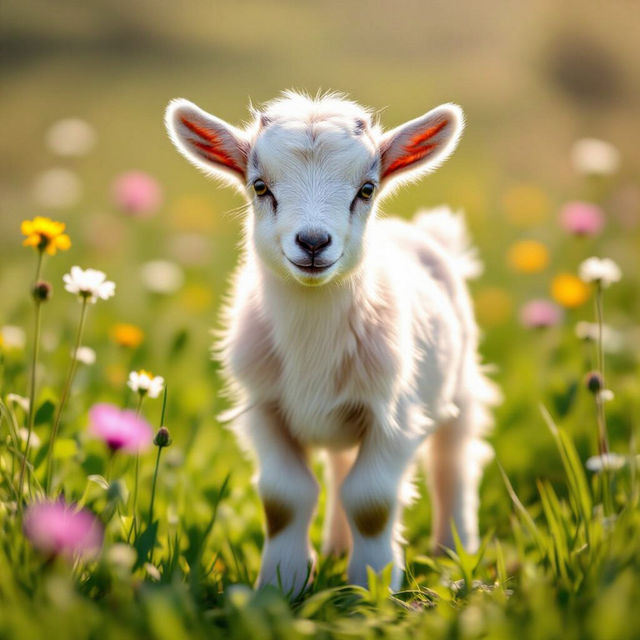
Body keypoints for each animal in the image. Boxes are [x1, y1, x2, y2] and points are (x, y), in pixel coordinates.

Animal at [165, 91, 498, 594]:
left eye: (367, 189)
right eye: (259, 187)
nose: (313, 242)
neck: (312, 343)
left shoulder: (394, 415)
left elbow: (371, 501)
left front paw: (372, 588)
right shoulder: (263, 409)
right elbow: (285, 498)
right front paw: (280, 585)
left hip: (459, 385)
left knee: (454, 460)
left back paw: (453, 551)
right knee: (341, 467)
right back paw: (337, 549)